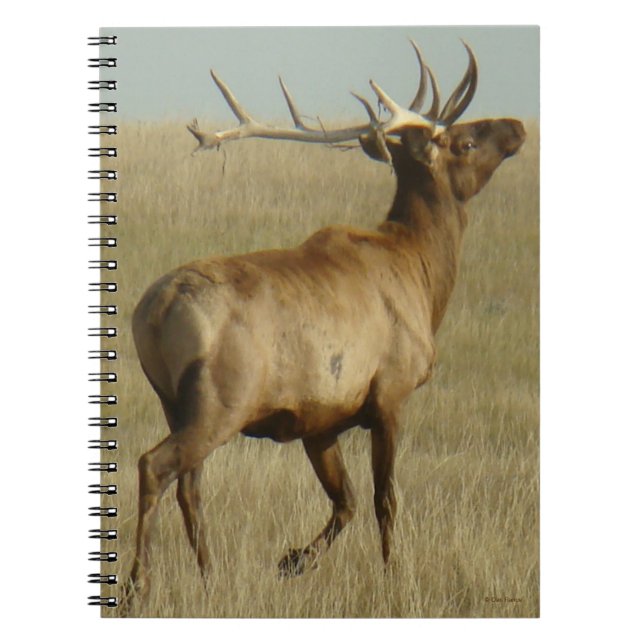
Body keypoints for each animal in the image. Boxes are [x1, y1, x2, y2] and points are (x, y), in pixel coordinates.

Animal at [124, 40, 526, 609]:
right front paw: (393, 576)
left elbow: (346, 501)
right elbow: (384, 499)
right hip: (221, 401)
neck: (423, 274)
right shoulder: (391, 393)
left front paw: (291, 561)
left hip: (173, 401)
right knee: (155, 467)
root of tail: (156, 311)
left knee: (190, 484)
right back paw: (137, 586)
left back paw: (210, 575)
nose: (517, 125)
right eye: (464, 141)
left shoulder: (319, 420)